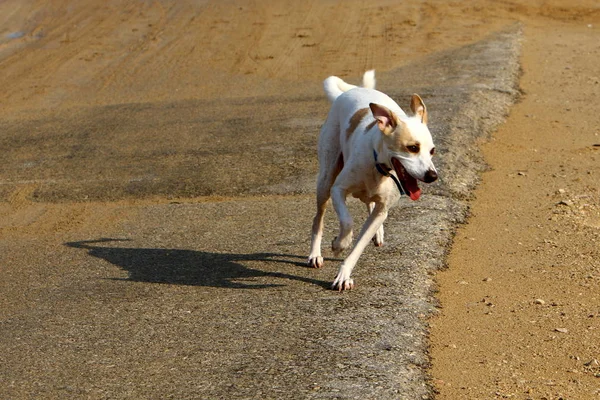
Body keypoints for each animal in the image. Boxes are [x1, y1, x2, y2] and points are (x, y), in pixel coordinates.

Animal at [308, 70, 438, 290]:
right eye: (412, 148)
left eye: (432, 151)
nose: (432, 176)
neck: (378, 167)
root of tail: (350, 92)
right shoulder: (338, 190)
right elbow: (348, 222)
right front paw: (339, 244)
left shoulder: (382, 211)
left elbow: (359, 246)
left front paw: (344, 275)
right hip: (325, 179)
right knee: (318, 219)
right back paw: (315, 255)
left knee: (369, 204)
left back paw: (378, 233)